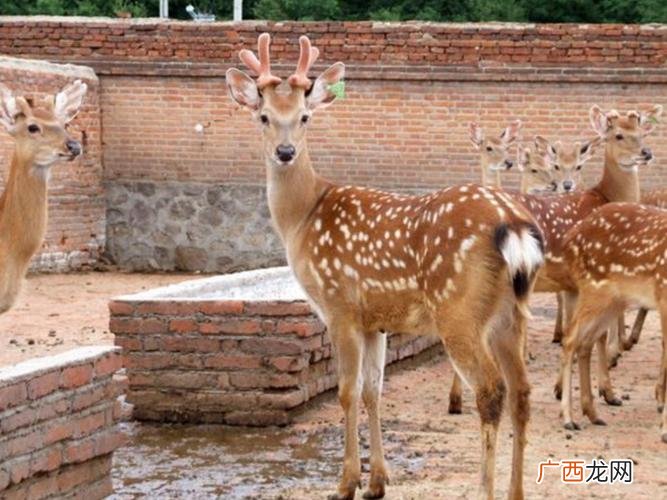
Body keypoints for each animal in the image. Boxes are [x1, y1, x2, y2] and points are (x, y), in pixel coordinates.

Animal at [227, 33, 545, 500]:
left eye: (304, 117)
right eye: (264, 116)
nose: (285, 152)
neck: (302, 217)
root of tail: (515, 226)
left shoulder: (338, 305)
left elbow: (346, 392)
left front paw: (346, 483)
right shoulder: (375, 320)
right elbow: (374, 391)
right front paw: (377, 481)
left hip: (459, 310)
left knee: (491, 390)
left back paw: (484, 489)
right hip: (512, 313)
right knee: (522, 390)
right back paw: (515, 491)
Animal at [559, 202, 667, 442]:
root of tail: (570, 238)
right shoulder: (663, 297)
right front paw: (664, 429)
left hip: (614, 301)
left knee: (586, 342)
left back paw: (593, 414)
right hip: (594, 290)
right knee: (570, 338)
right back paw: (568, 419)